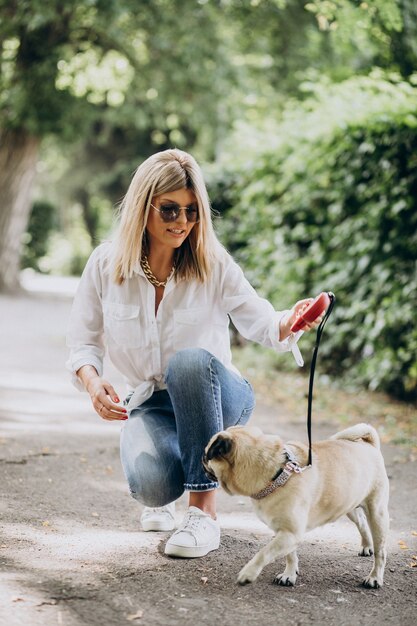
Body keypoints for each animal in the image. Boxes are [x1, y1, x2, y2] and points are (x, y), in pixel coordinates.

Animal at [203, 422, 388, 588]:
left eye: (206, 455)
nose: (201, 458)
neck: (276, 474)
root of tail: (369, 444)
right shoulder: (284, 532)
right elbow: (290, 556)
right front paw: (289, 575)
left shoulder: (290, 533)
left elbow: (264, 553)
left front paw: (248, 573)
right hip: (348, 505)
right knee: (362, 523)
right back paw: (366, 546)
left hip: (377, 514)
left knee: (381, 551)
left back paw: (374, 578)